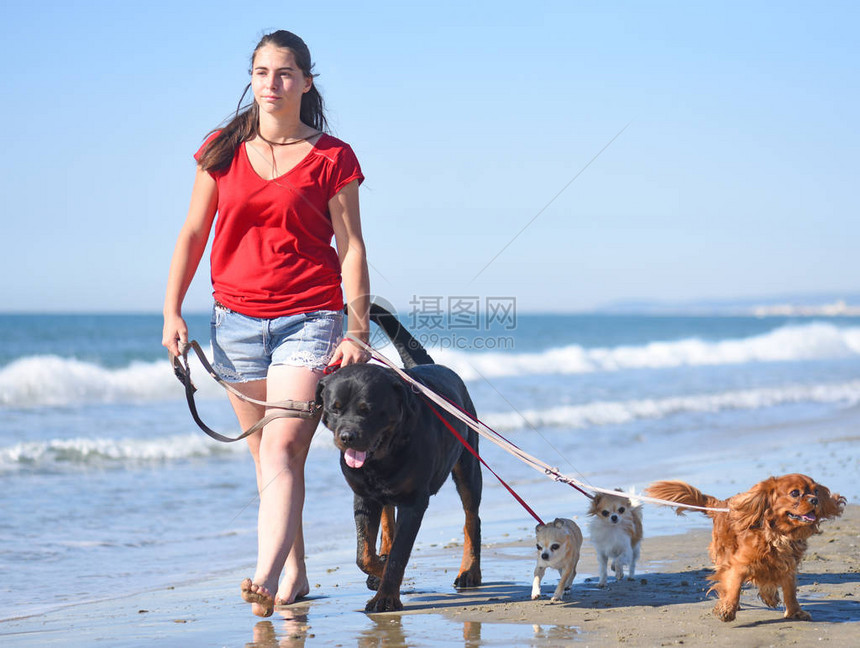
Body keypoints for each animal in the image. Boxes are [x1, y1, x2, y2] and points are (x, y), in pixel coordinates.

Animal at [316, 306, 480, 612]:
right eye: (335, 408)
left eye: (367, 410)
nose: (347, 436)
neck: (384, 455)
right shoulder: (363, 496)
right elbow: (363, 553)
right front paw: (377, 570)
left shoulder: (414, 501)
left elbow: (399, 556)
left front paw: (386, 596)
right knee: (386, 521)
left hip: (468, 466)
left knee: (471, 518)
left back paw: (470, 571)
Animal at [648, 474, 844, 620]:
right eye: (795, 493)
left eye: (816, 491)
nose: (815, 500)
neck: (777, 535)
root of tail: (720, 504)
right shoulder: (739, 564)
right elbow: (734, 586)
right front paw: (727, 609)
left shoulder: (788, 567)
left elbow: (790, 592)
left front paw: (795, 612)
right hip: (723, 555)